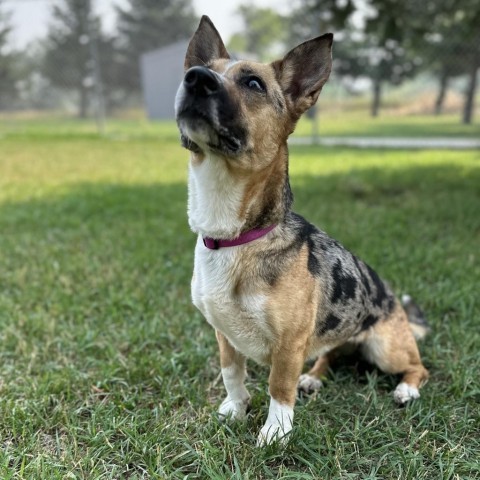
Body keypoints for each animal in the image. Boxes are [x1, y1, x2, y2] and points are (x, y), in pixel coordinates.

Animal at [174, 15, 430, 446]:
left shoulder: (289, 344)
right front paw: (235, 409)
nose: (196, 78)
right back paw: (312, 378)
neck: (237, 237)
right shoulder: (224, 335)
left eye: (253, 83)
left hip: (385, 348)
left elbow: (279, 386)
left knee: (420, 367)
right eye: (202, 70)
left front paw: (275, 432)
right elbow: (232, 374)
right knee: (328, 354)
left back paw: (406, 389)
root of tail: (397, 306)